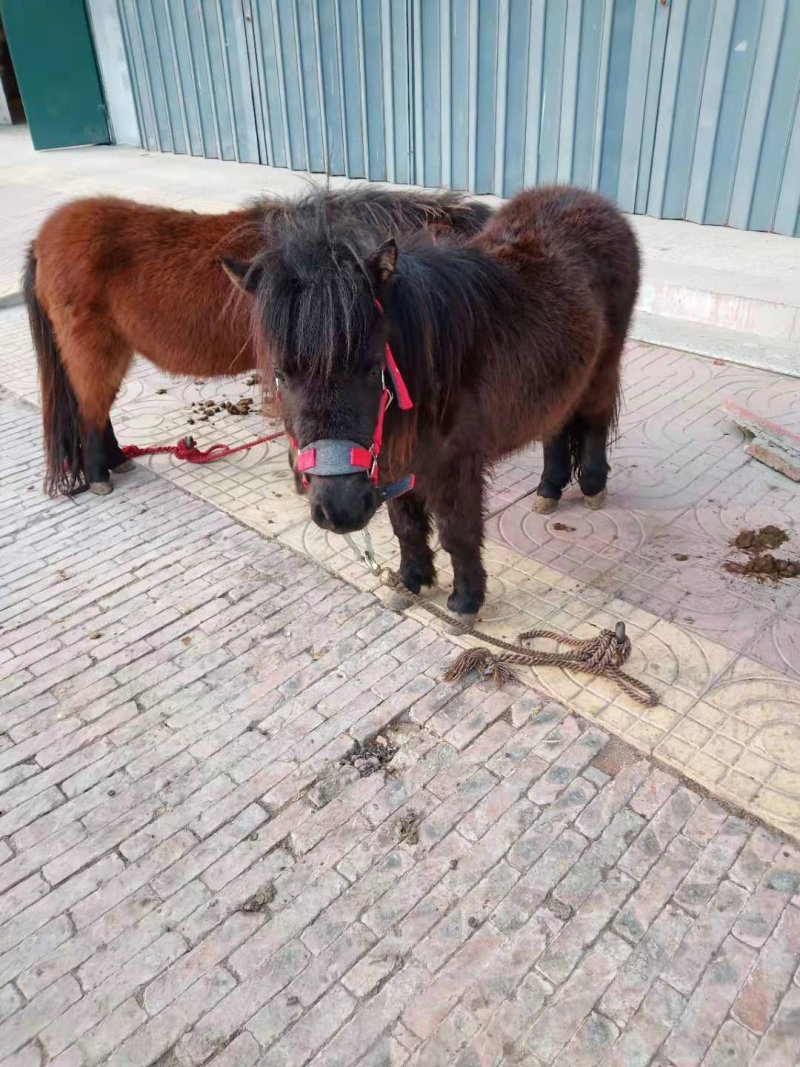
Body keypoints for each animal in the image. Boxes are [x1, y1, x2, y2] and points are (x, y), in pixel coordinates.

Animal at [223, 185, 639, 618]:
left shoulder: (457, 465)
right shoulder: (395, 461)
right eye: (282, 374)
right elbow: (405, 525)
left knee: (595, 420)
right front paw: (411, 580)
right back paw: (549, 490)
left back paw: (592, 486)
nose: (339, 511)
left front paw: (466, 600)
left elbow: (458, 532)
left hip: (602, 368)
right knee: (555, 427)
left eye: (373, 366)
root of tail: (590, 200)